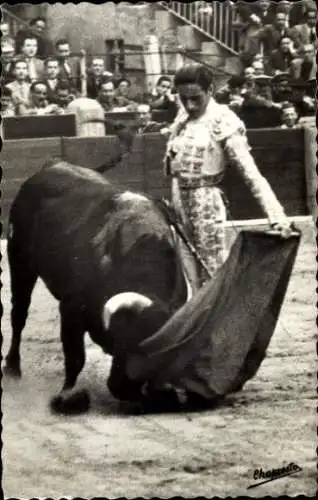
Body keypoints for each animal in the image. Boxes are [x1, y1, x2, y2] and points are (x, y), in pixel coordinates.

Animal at [3, 161, 190, 414]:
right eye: (125, 341)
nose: (125, 389)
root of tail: (51, 165)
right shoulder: (70, 311)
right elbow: (75, 358)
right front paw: (67, 396)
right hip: (20, 263)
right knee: (18, 315)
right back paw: (12, 368)